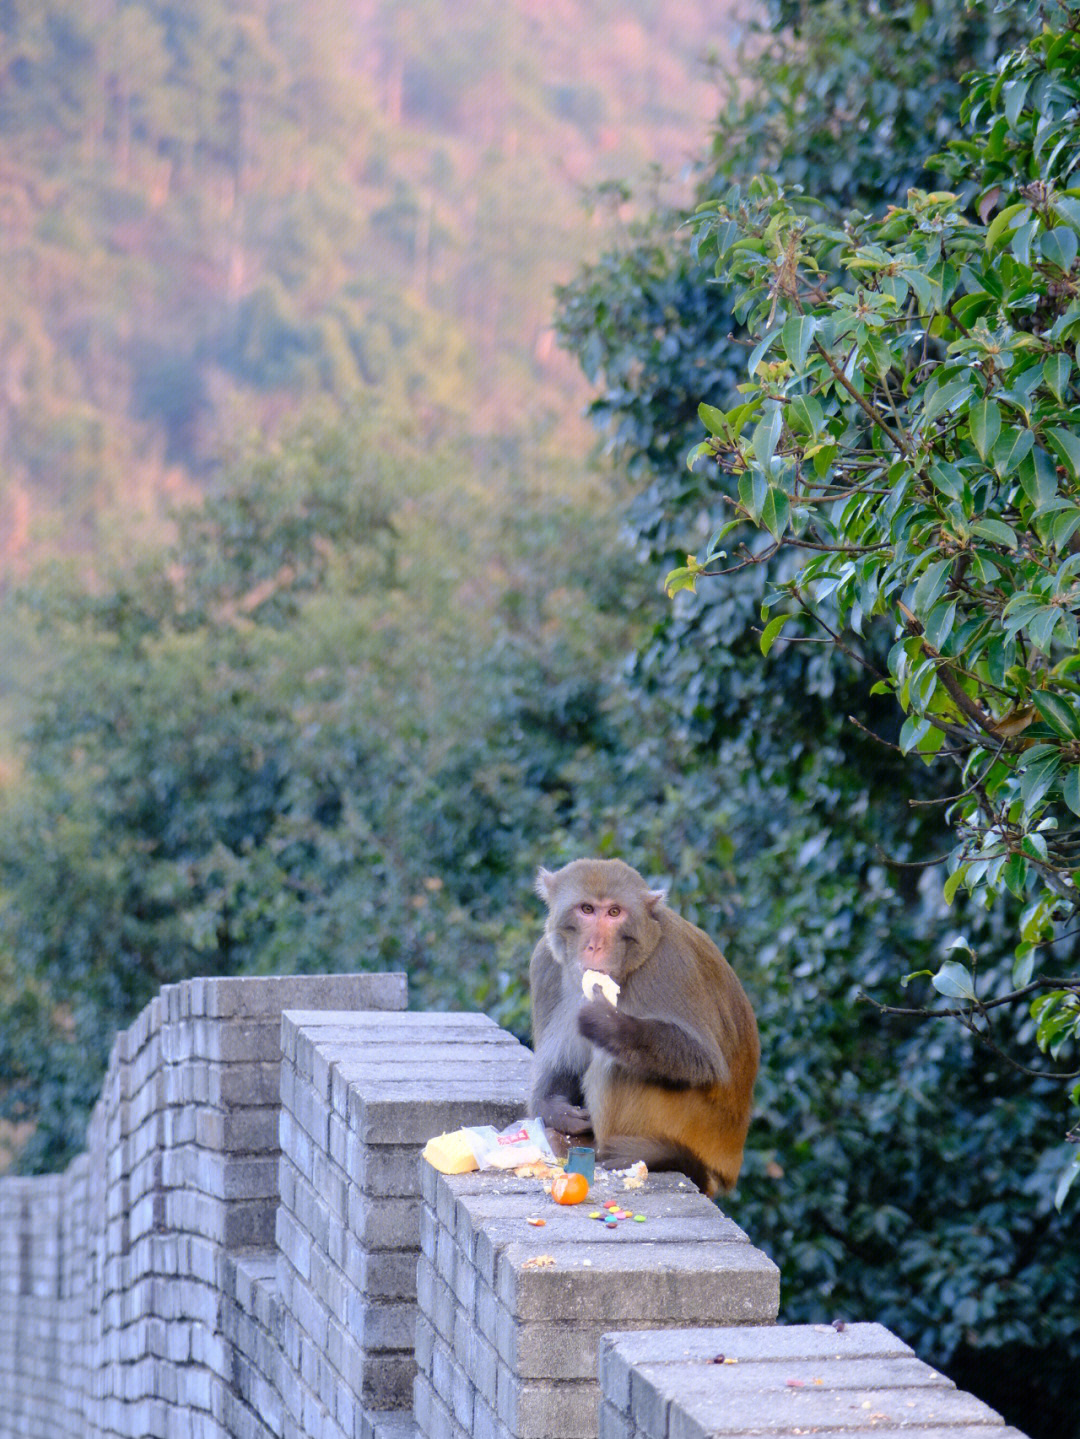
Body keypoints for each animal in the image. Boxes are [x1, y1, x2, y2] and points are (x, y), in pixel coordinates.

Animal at [532, 857, 759, 1197]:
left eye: (614, 913)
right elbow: (558, 1068)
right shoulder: (544, 963)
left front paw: (607, 1023)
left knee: (616, 1063)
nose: (596, 945)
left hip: (699, 1126)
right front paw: (557, 1111)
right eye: (587, 909)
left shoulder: (672, 965)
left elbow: (703, 1060)